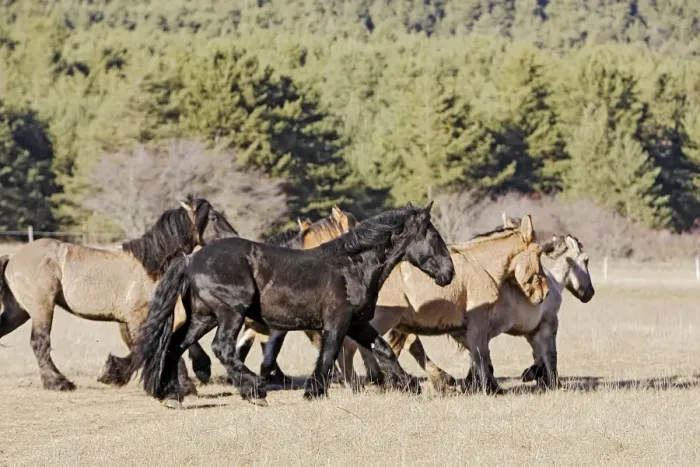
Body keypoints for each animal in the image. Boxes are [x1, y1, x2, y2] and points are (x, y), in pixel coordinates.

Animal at [0, 195, 237, 391]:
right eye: (213, 217)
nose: (234, 238)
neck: (151, 264)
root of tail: (12, 257)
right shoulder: (138, 317)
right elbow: (155, 344)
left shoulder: (131, 320)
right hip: (42, 308)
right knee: (39, 342)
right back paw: (58, 383)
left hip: (18, 312)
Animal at [336, 214, 549, 394]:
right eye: (539, 252)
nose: (545, 292)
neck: (480, 265)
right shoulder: (478, 322)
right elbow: (481, 354)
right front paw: (490, 388)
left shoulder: (463, 329)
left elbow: (477, 355)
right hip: (380, 321)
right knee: (353, 347)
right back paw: (366, 382)